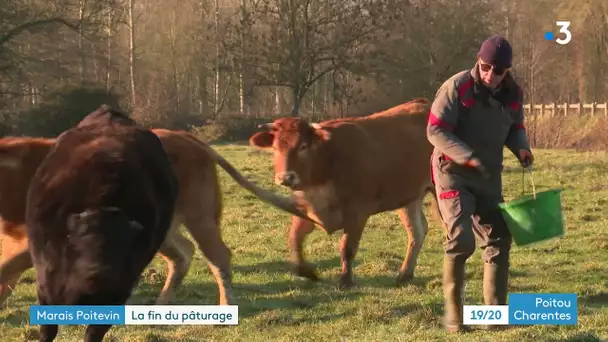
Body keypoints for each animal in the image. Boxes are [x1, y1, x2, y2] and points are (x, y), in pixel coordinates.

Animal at [0, 127, 314, 308]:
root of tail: (185, 137)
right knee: (184, 252)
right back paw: (163, 301)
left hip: (199, 215)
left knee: (218, 255)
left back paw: (225, 306)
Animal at [26, 105, 178, 340]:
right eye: (82, 238)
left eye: (122, 245)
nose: (100, 273)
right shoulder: (46, 285)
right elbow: (47, 329)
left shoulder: (117, 295)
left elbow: (93, 333)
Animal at [247, 98, 442, 288]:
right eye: (275, 148)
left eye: (303, 146)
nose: (286, 177)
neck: (326, 159)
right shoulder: (308, 209)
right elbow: (295, 237)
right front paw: (305, 271)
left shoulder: (357, 211)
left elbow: (347, 247)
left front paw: (346, 280)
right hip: (407, 198)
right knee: (417, 232)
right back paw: (405, 274)